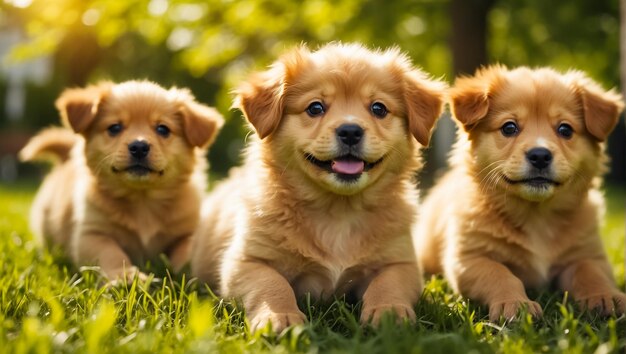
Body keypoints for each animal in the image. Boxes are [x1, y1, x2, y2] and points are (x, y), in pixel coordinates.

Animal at [19, 81, 223, 284]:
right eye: (114, 128)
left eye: (163, 129)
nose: (139, 146)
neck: (143, 202)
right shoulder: (92, 233)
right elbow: (111, 253)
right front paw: (125, 276)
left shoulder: (188, 231)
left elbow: (187, 250)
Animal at [188, 42, 446, 334]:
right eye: (315, 108)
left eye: (379, 109)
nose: (350, 131)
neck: (337, 211)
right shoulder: (246, 261)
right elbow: (271, 285)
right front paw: (280, 316)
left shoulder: (400, 261)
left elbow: (389, 283)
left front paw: (389, 312)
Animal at [414, 65, 624, 322]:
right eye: (509, 127)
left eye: (565, 129)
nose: (540, 155)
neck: (536, 216)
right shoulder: (470, 258)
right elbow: (500, 274)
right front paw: (515, 303)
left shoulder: (586, 254)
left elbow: (591, 273)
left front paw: (605, 296)